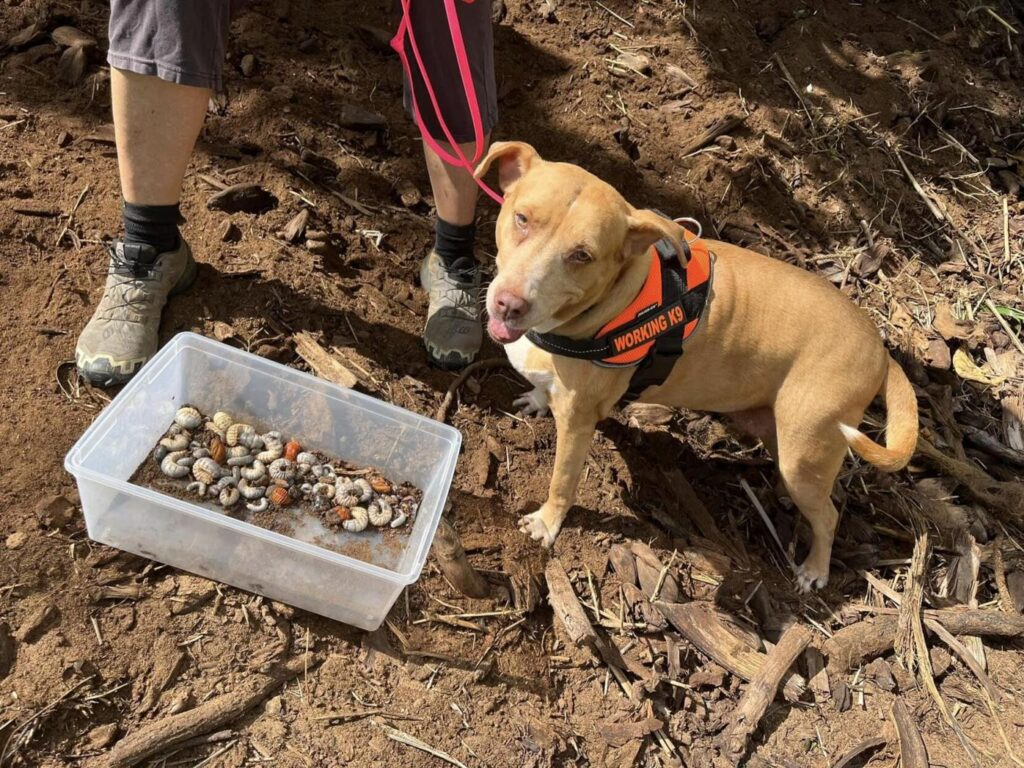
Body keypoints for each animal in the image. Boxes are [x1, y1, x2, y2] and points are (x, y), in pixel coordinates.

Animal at [479, 141, 921, 593]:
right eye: (522, 219)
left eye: (582, 255)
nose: (509, 304)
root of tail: (881, 349)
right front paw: (536, 398)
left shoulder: (577, 422)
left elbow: (562, 482)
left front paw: (546, 524)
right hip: (782, 435)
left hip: (806, 449)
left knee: (829, 516)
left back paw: (815, 569)